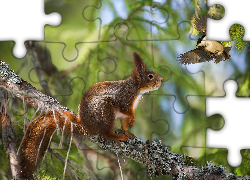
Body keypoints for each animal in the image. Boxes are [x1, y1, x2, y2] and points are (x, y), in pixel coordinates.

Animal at [18, 51, 162, 179]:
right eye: (150, 76)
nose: (161, 80)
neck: (136, 88)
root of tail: (85, 125)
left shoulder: (124, 114)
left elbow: (124, 124)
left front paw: (128, 132)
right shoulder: (124, 99)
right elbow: (127, 111)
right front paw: (133, 119)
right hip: (105, 110)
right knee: (104, 132)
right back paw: (114, 136)